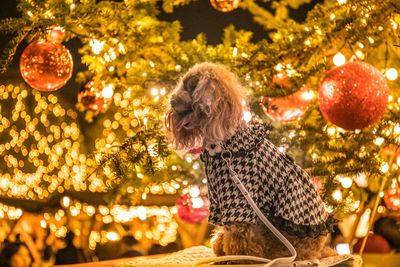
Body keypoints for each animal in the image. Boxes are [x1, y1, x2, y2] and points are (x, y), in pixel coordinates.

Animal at [166, 62, 338, 262]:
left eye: (193, 86)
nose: (171, 101)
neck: (222, 147)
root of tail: (321, 248)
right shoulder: (218, 200)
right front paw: (221, 247)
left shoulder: (239, 202)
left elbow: (240, 235)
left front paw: (240, 257)